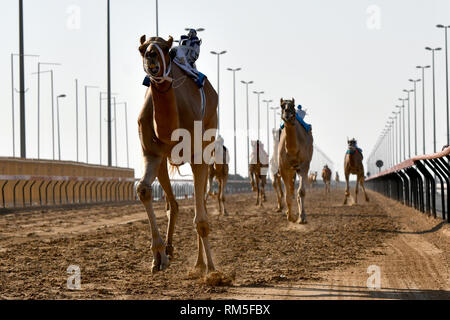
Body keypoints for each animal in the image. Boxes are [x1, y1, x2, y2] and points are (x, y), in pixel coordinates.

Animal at [136, 35, 219, 276]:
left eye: (166, 48)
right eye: (141, 49)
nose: (151, 55)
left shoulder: (197, 155)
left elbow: (201, 218)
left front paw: (212, 270)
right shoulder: (152, 154)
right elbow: (144, 190)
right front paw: (158, 256)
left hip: (208, 143)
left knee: (201, 200)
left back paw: (200, 263)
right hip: (164, 160)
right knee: (173, 203)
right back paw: (170, 250)